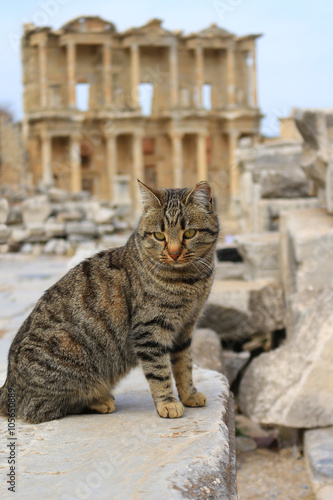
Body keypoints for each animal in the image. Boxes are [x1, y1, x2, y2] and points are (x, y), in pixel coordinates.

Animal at [0, 180, 219, 422]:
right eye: (159, 236)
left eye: (189, 233)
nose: (173, 253)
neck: (190, 280)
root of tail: (7, 387)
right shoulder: (150, 330)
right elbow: (160, 372)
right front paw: (168, 403)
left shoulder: (186, 328)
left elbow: (184, 366)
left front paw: (190, 395)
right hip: (69, 352)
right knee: (43, 408)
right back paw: (99, 401)